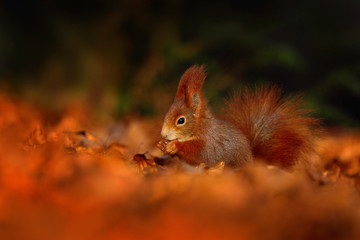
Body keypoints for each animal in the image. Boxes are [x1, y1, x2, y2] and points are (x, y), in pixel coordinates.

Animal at [158, 64, 318, 168]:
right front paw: (162, 144)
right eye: (167, 113)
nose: (164, 134)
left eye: (181, 120)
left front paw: (174, 145)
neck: (200, 128)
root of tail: (253, 162)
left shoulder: (210, 144)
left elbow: (198, 154)